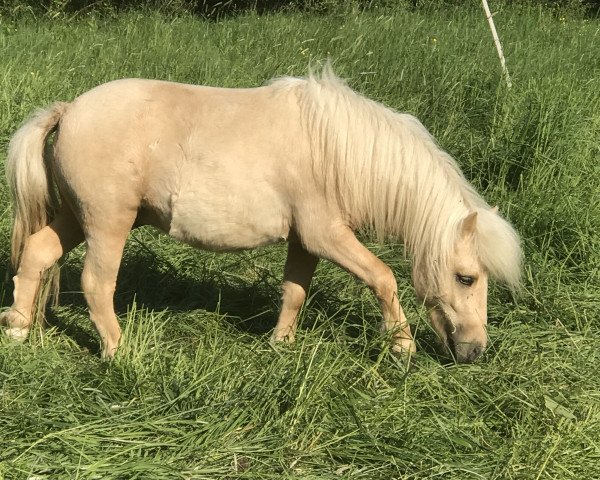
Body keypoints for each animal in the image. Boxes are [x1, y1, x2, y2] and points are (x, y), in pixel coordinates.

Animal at [1, 66, 520, 360]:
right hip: (108, 224)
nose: (474, 351)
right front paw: (402, 346)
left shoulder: (305, 242)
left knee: (37, 254)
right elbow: (383, 277)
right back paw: (116, 351)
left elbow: (294, 292)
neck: (336, 149)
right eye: (467, 278)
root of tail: (69, 109)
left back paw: (19, 328)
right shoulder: (328, 235)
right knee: (96, 283)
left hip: (76, 218)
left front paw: (281, 345)